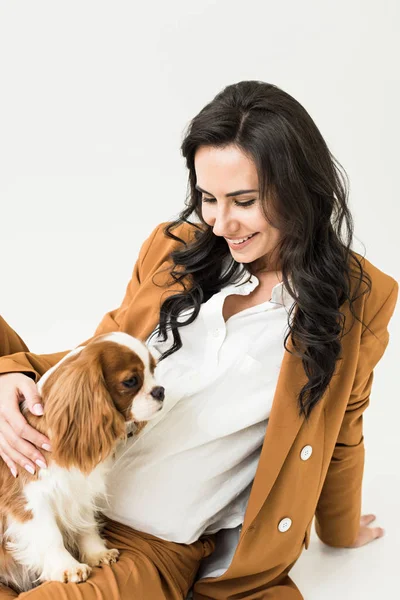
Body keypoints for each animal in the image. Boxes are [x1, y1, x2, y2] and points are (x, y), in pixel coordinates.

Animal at [0, 330, 164, 592]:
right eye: (130, 381)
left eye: (154, 370)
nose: (161, 391)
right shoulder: (27, 498)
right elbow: (50, 534)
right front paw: (67, 567)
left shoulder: (80, 489)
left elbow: (85, 524)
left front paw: (97, 553)